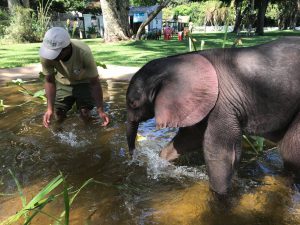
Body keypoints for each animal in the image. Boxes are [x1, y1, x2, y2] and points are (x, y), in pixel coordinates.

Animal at [125, 37, 300, 195]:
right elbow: (189, 138)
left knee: (290, 150)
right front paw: (161, 161)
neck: (176, 59)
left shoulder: (222, 104)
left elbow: (218, 152)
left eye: (133, 103)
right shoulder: (204, 101)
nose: (133, 159)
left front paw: (219, 196)